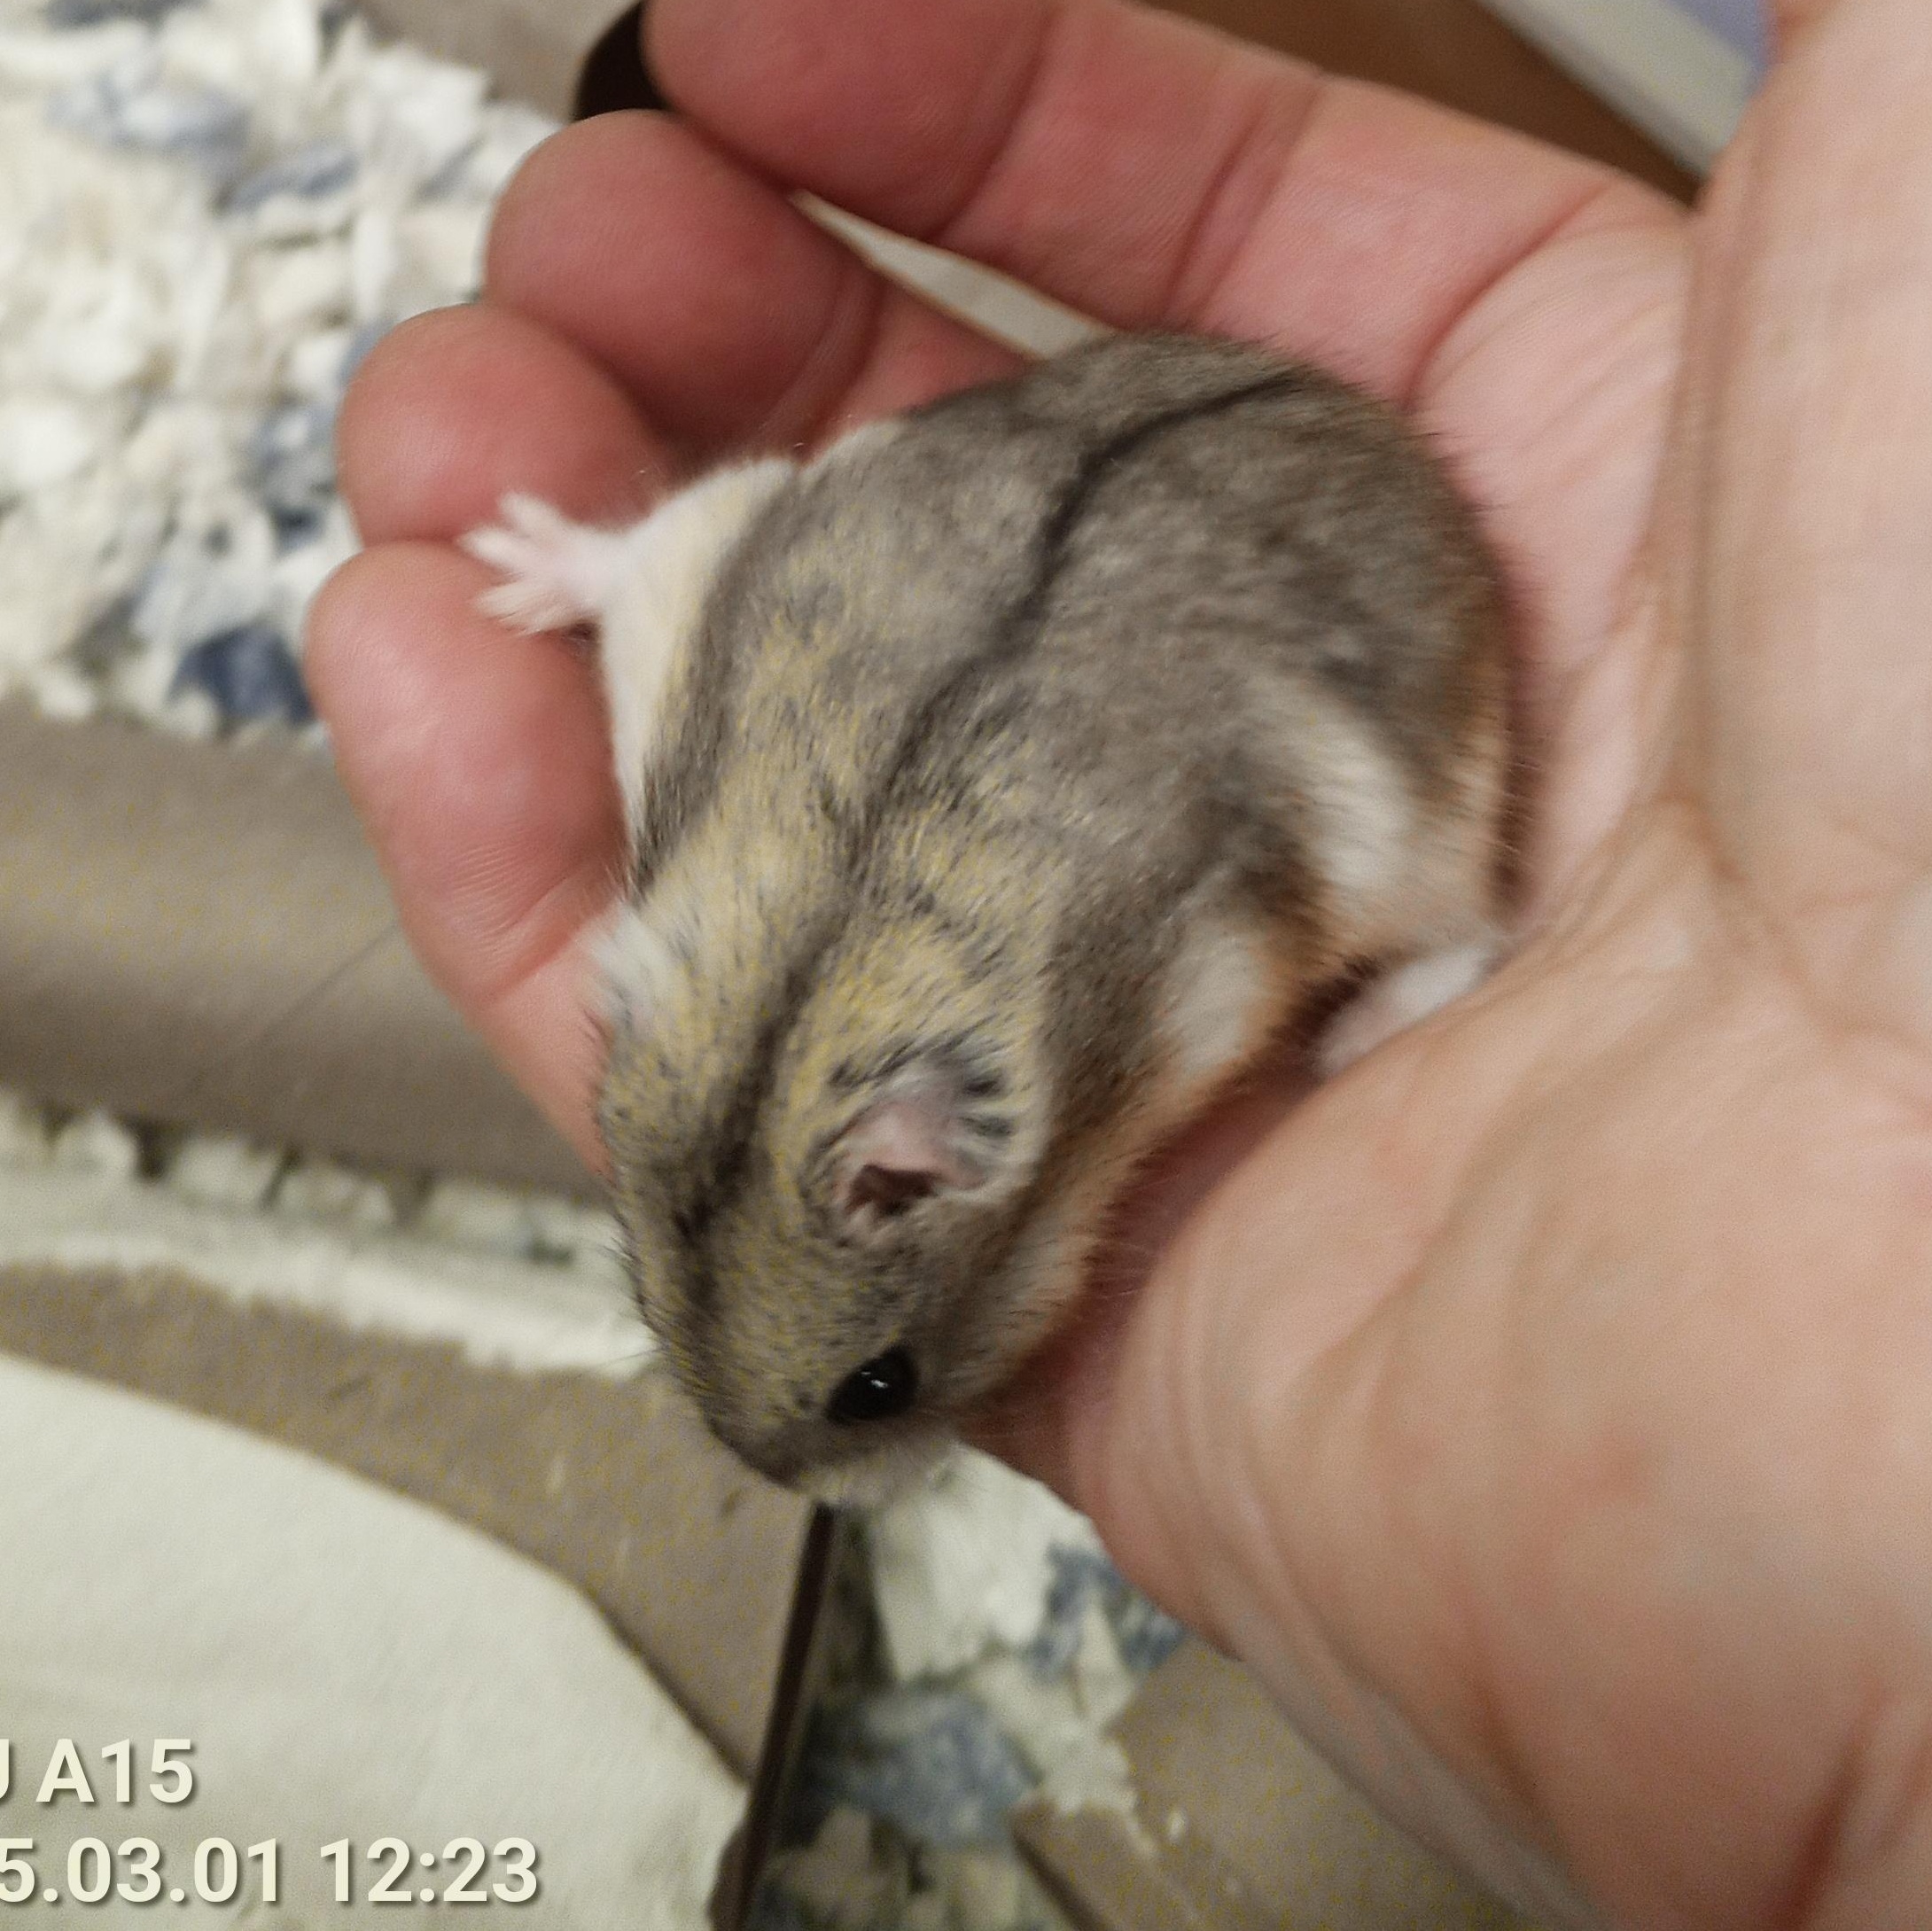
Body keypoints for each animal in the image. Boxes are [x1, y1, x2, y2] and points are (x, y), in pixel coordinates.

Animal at [464, 333, 1508, 1497]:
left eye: (877, 1384)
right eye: (640, 1292)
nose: (778, 1482)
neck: (803, 999)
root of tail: (1378, 429)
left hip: (1430, 832)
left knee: (1472, 931)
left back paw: (1351, 1040)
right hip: (713, 538)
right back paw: (512, 560)